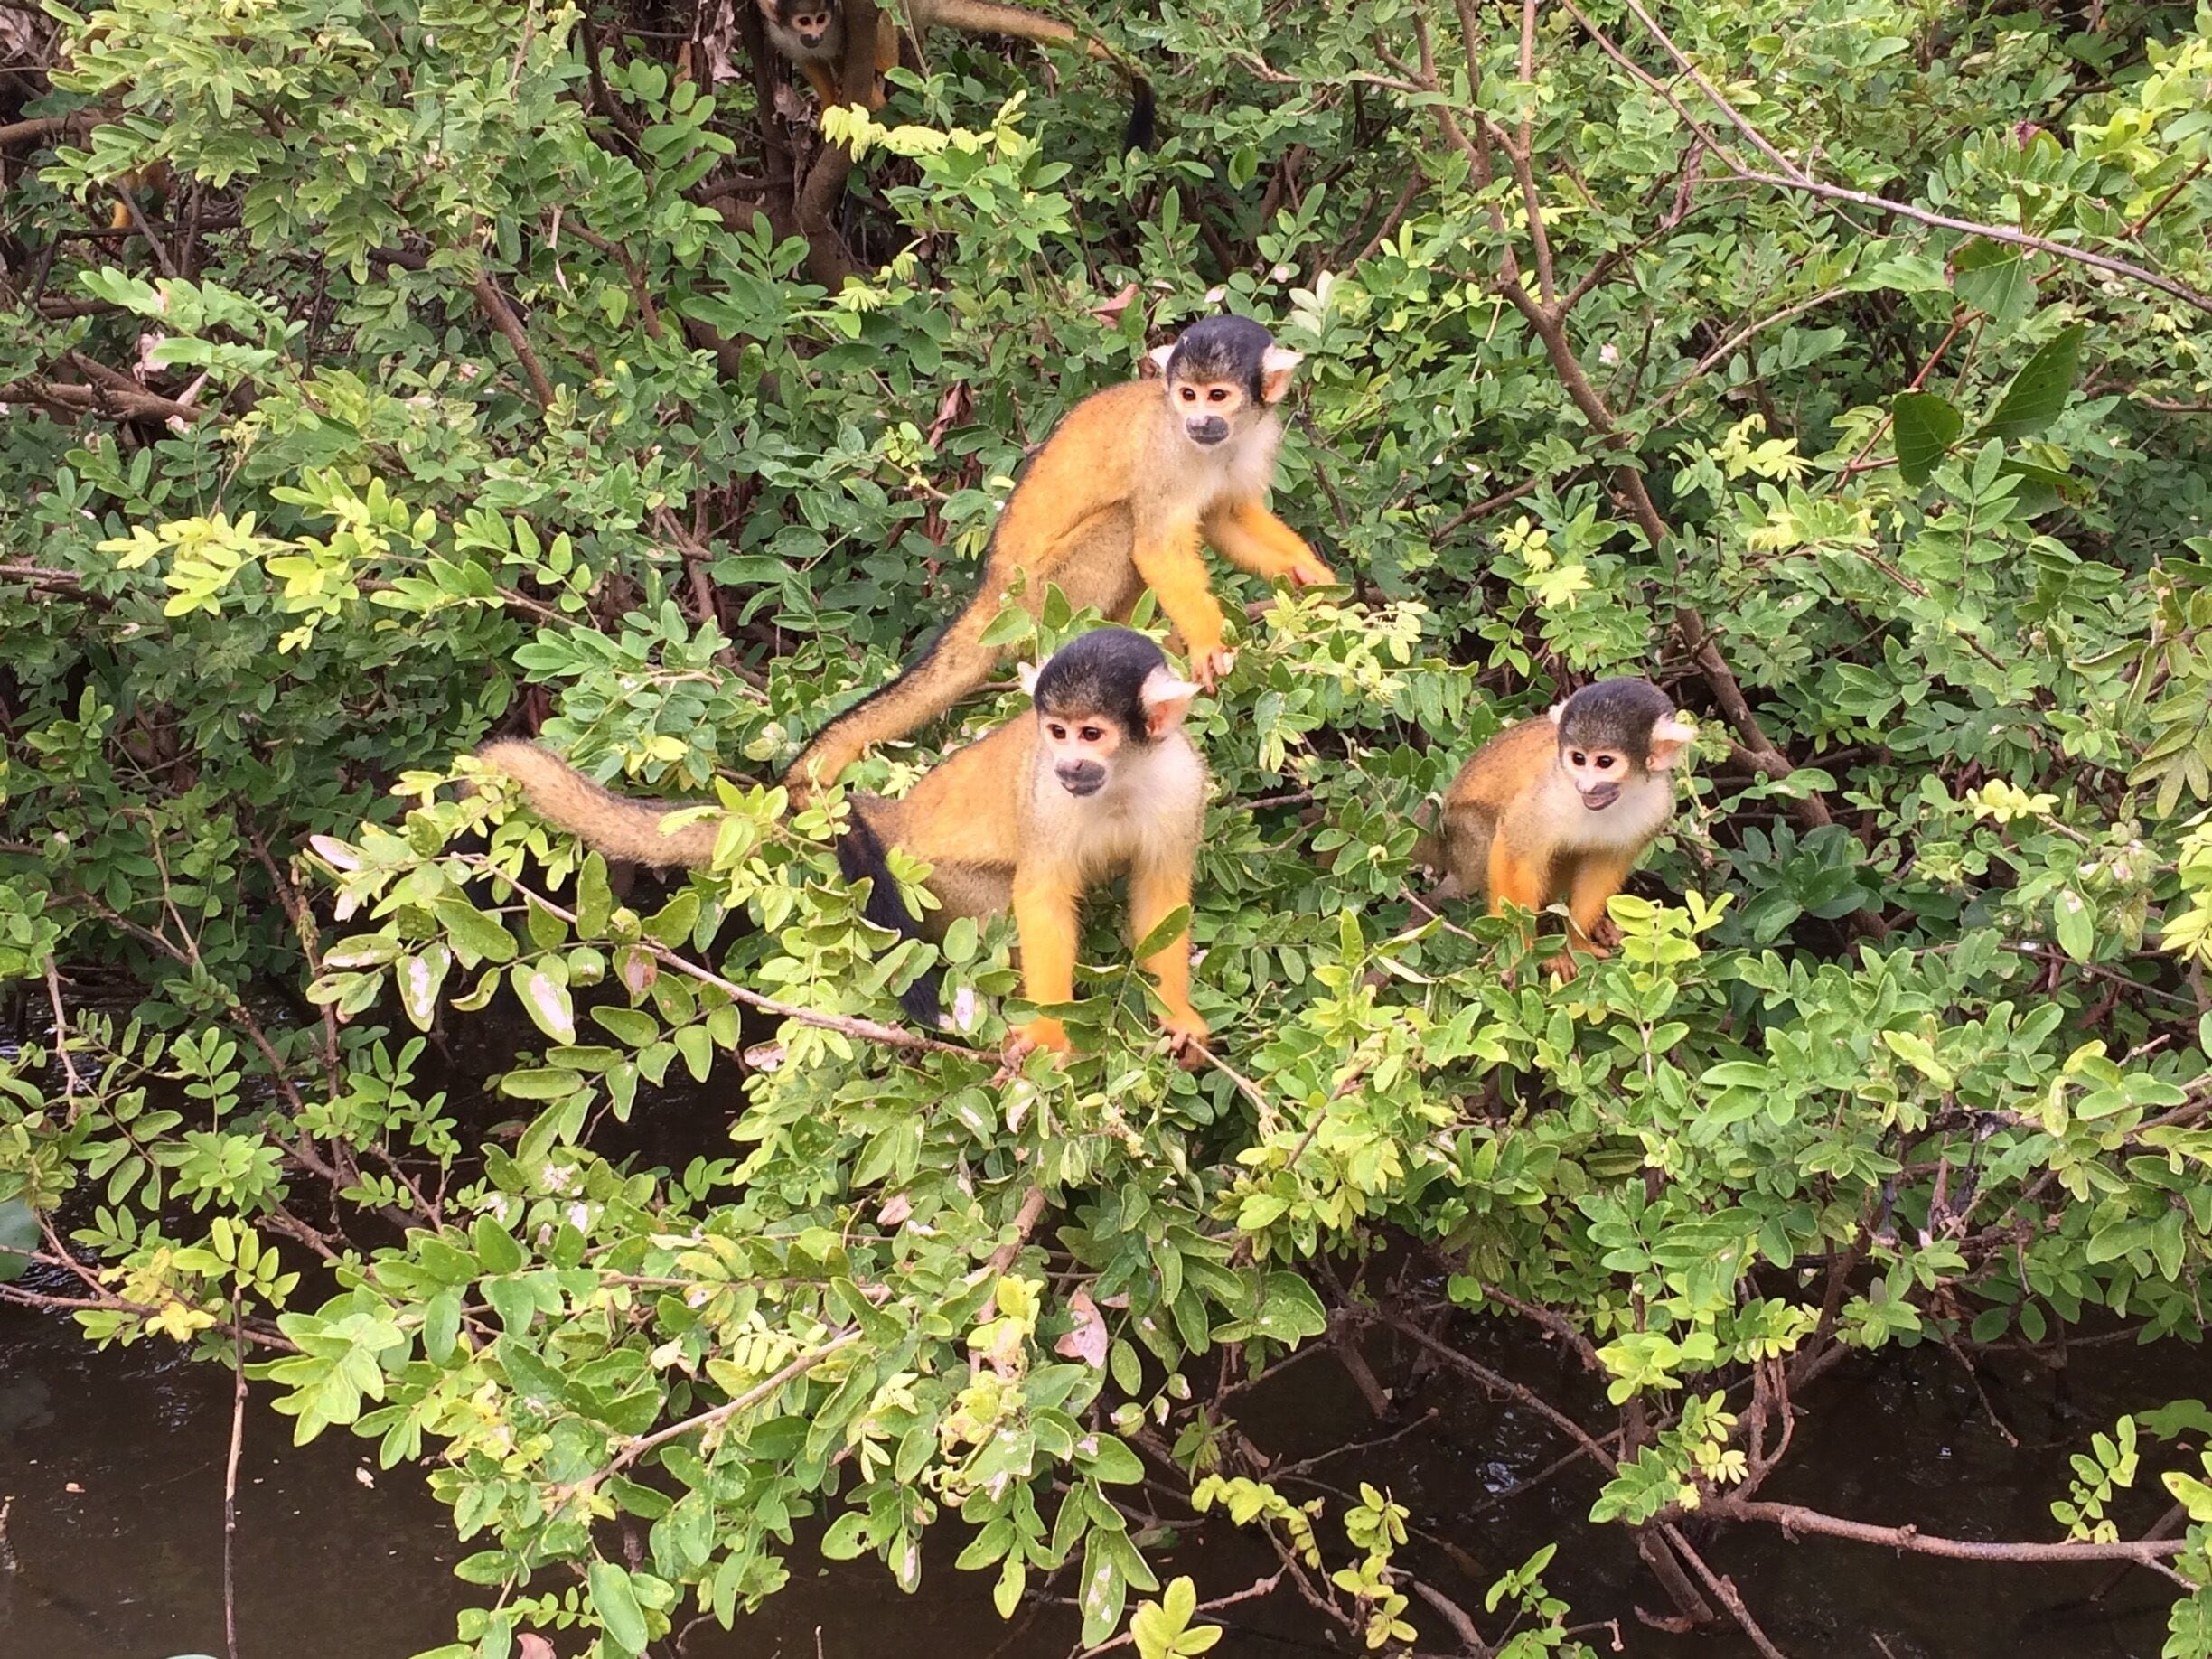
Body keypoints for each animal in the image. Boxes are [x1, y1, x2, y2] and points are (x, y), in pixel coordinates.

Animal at [476, 626, 1210, 1062]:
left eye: (1092, 734)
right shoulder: (1049, 802)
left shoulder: (1181, 782)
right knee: (1000, 911)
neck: (1122, 778)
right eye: (1057, 732)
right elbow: (1042, 896)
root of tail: (901, 817)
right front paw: (1049, 1031)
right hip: (931, 877)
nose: (1067, 764)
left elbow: (1163, 895)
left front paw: (1179, 1015)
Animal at [756, 0, 1155, 148]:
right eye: (804, 22)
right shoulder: (781, 33)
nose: (815, 34)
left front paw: (869, 87)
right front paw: (828, 104)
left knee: (890, 21)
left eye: (820, 18)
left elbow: (878, 19)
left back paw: (879, 78)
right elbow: (807, 61)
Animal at [784, 314, 1334, 801]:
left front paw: (1311, 574)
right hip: (1047, 594)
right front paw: (1207, 643)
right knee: (1123, 520)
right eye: (1187, 395)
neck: (1220, 440)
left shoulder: (1257, 436)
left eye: (1217, 395)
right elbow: (1157, 543)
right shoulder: (1168, 451)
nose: (1199, 420)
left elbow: (1227, 516)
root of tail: (992, 592)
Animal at [1414, 678, 1695, 976]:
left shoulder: (1658, 806)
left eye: (1604, 762)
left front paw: (1578, 943)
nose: (1585, 786)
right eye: (1578, 759)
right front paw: (1520, 949)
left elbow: (1604, 867)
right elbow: (1515, 848)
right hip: (1463, 838)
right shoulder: (1548, 793)